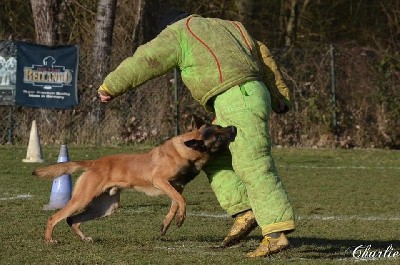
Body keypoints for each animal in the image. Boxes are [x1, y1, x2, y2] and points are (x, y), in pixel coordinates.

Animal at [33, 120, 238, 242]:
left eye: (221, 126)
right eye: (218, 136)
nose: (234, 128)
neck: (188, 151)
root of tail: (94, 162)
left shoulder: (177, 188)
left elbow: (175, 204)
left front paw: (167, 224)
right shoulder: (160, 180)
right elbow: (182, 202)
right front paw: (181, 219)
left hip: (105, 208)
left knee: (72, 220)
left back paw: (84, 238)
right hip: (82, 199)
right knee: (55, 217)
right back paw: (50, 240)